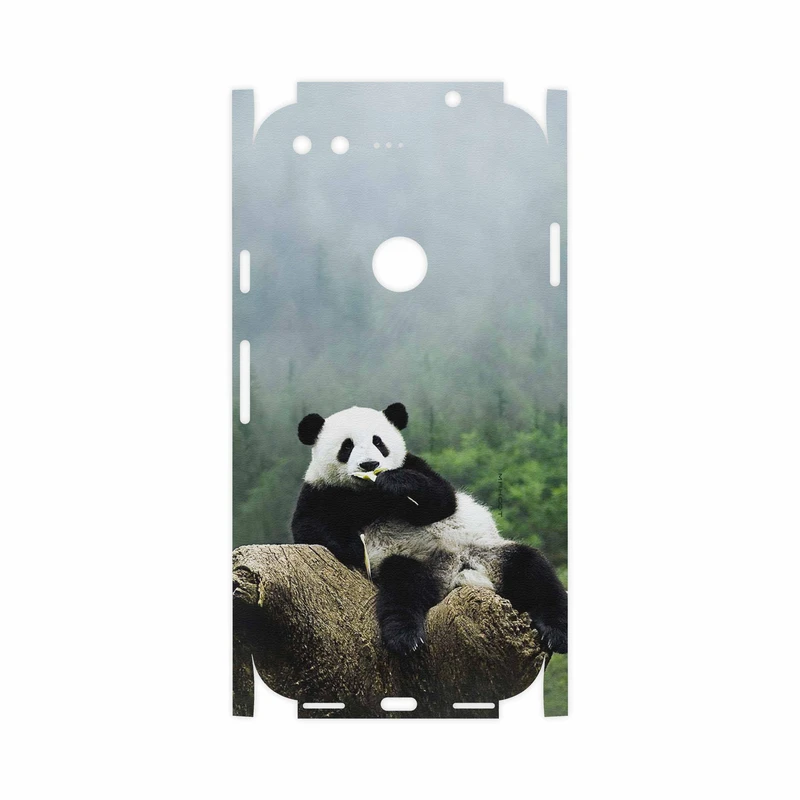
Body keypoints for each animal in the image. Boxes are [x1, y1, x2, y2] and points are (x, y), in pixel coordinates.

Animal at [291, 403, 568, 655]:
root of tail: (458, 573)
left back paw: (556, 633)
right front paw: (354, 547)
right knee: (403, 587)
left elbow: (442, 500)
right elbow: (309, 528)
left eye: (378, 442)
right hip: (415, 562)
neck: (369, 494)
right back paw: (405, 637)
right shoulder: (320, 491)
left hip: (490, 553)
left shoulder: (415, 465)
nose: (370, 464)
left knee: (533, 570)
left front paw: (395, 483)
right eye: (346, 446)